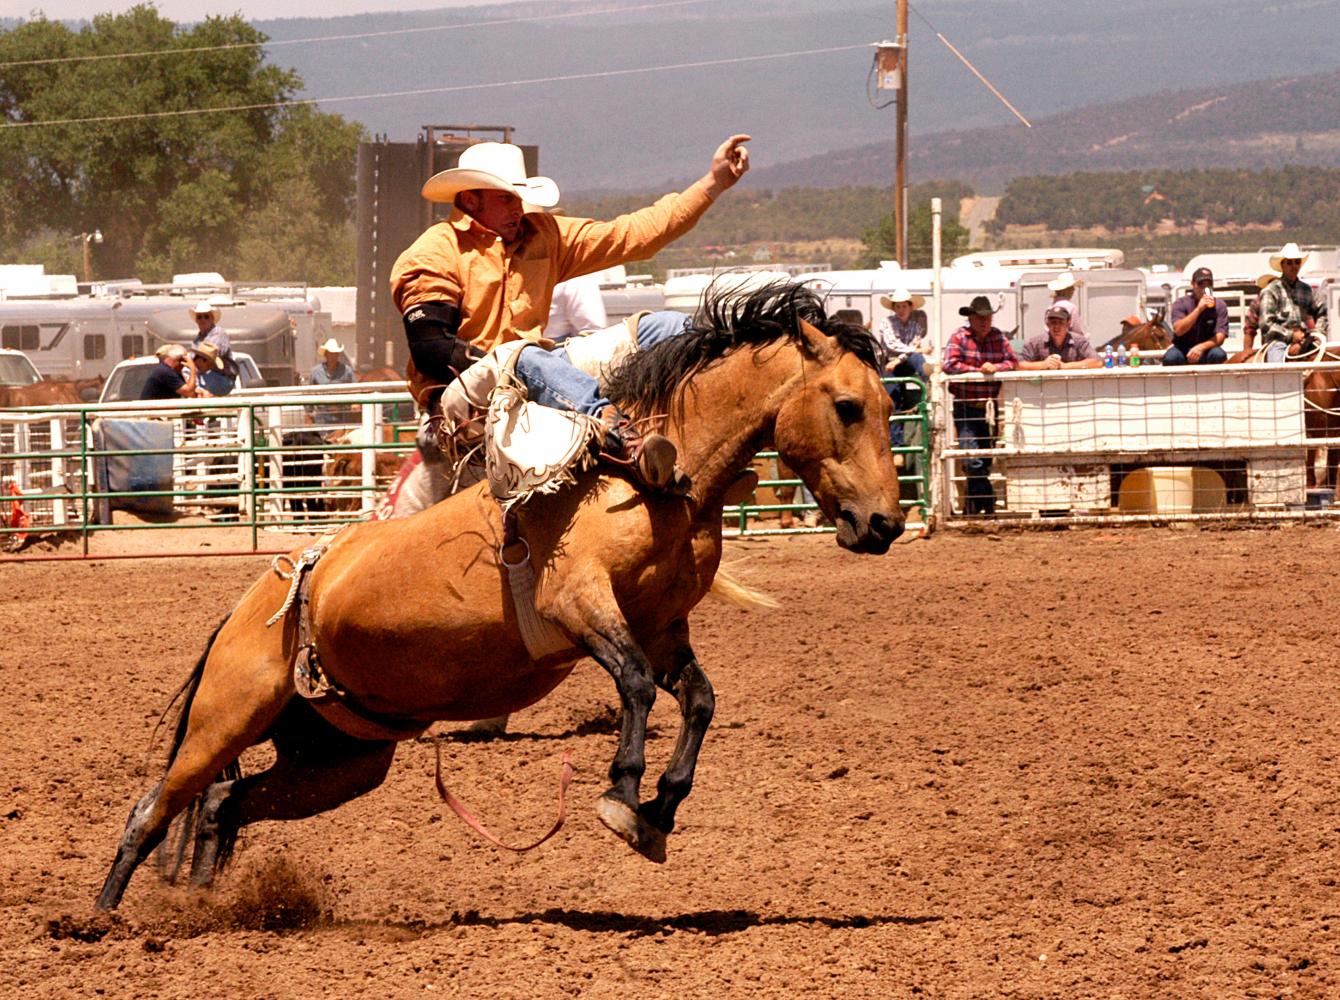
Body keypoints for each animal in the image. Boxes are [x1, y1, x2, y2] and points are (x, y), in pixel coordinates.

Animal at [99, 278, 905, 906]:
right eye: (847, 405)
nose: (885, 523)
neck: (654, 481)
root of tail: (267, 593)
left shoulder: (661, 624)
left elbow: (699, 700)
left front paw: (663, 808)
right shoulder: (579, 605)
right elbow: (637, 685)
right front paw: (623, 794)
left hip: (341, 758)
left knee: (225, 802)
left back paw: (203, 903)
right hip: (227, 716)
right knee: (152, 807)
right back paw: (104, 921)